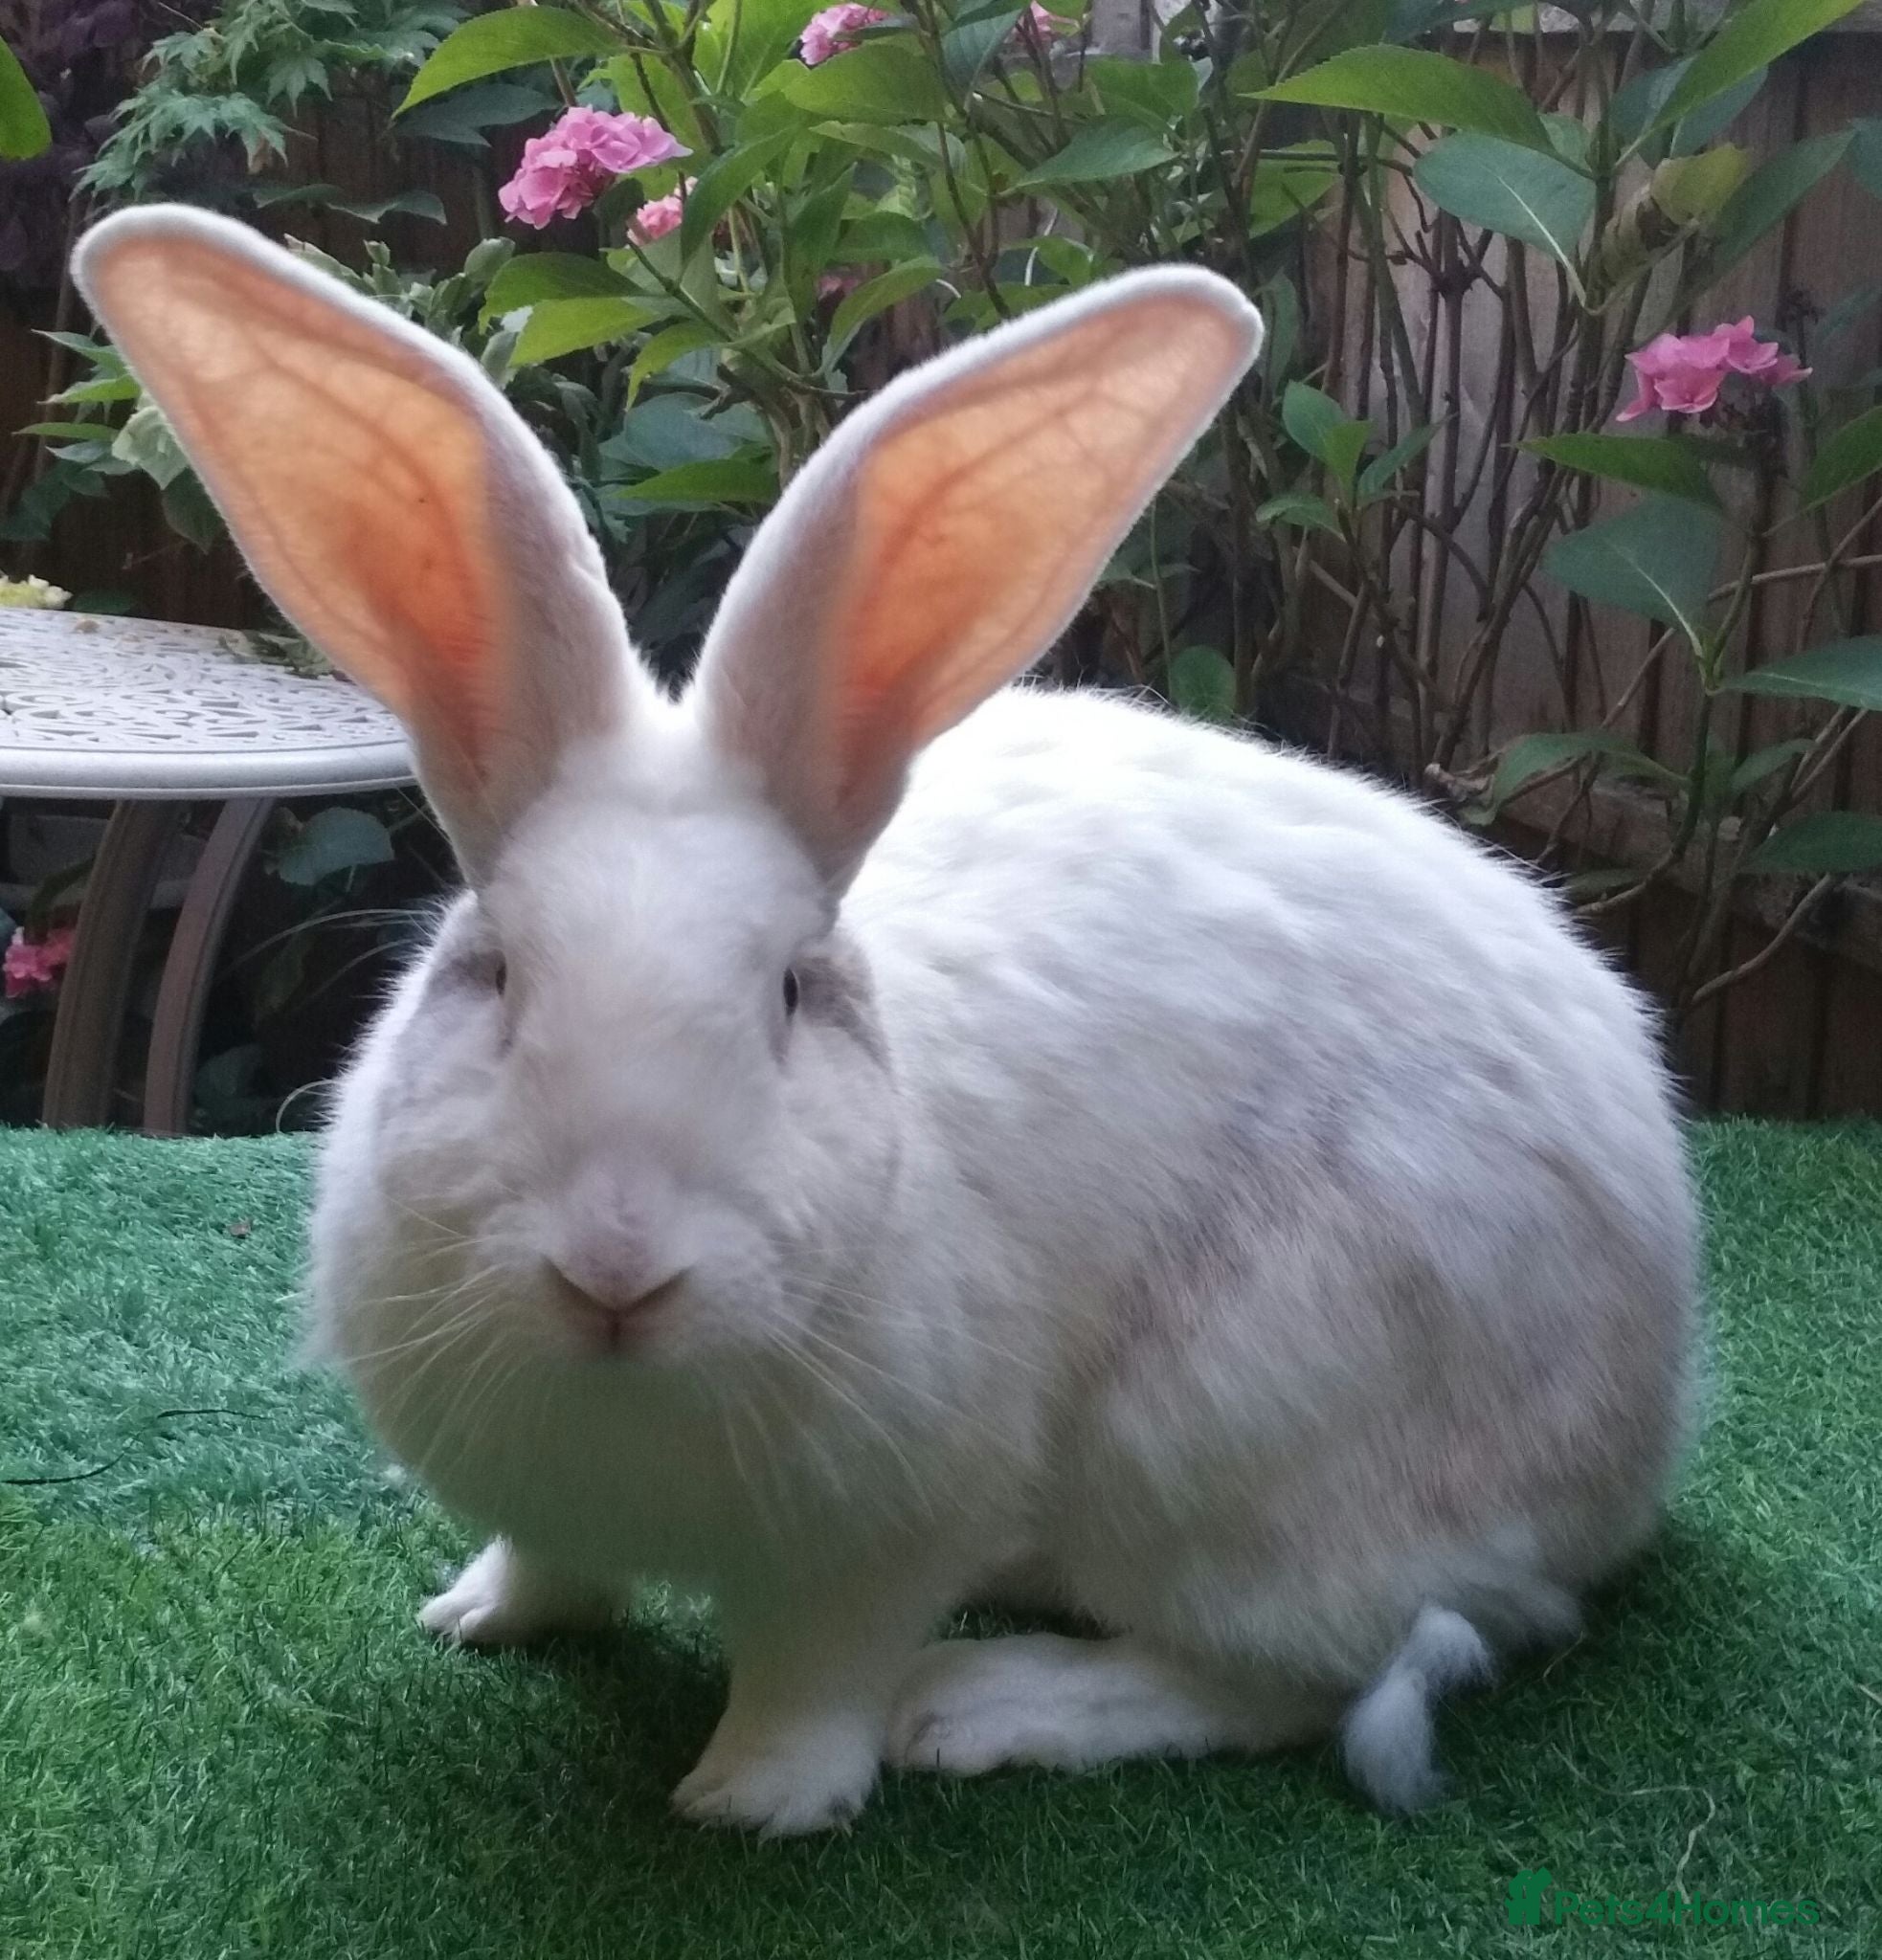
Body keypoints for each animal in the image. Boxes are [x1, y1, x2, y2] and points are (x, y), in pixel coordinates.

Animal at [75, 205, 1698, 1836]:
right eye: (495, 974)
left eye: (792, 992)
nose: (615, 1271)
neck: (627, 1405)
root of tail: (1637, 1442)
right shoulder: (547, 1497)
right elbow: (551, 1565)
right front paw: (480, 1618)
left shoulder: (882, 1540)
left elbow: (818, 1673)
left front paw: (749, 1804)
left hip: (1243, 1443)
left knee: (1297, 1674)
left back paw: (987, 1705)